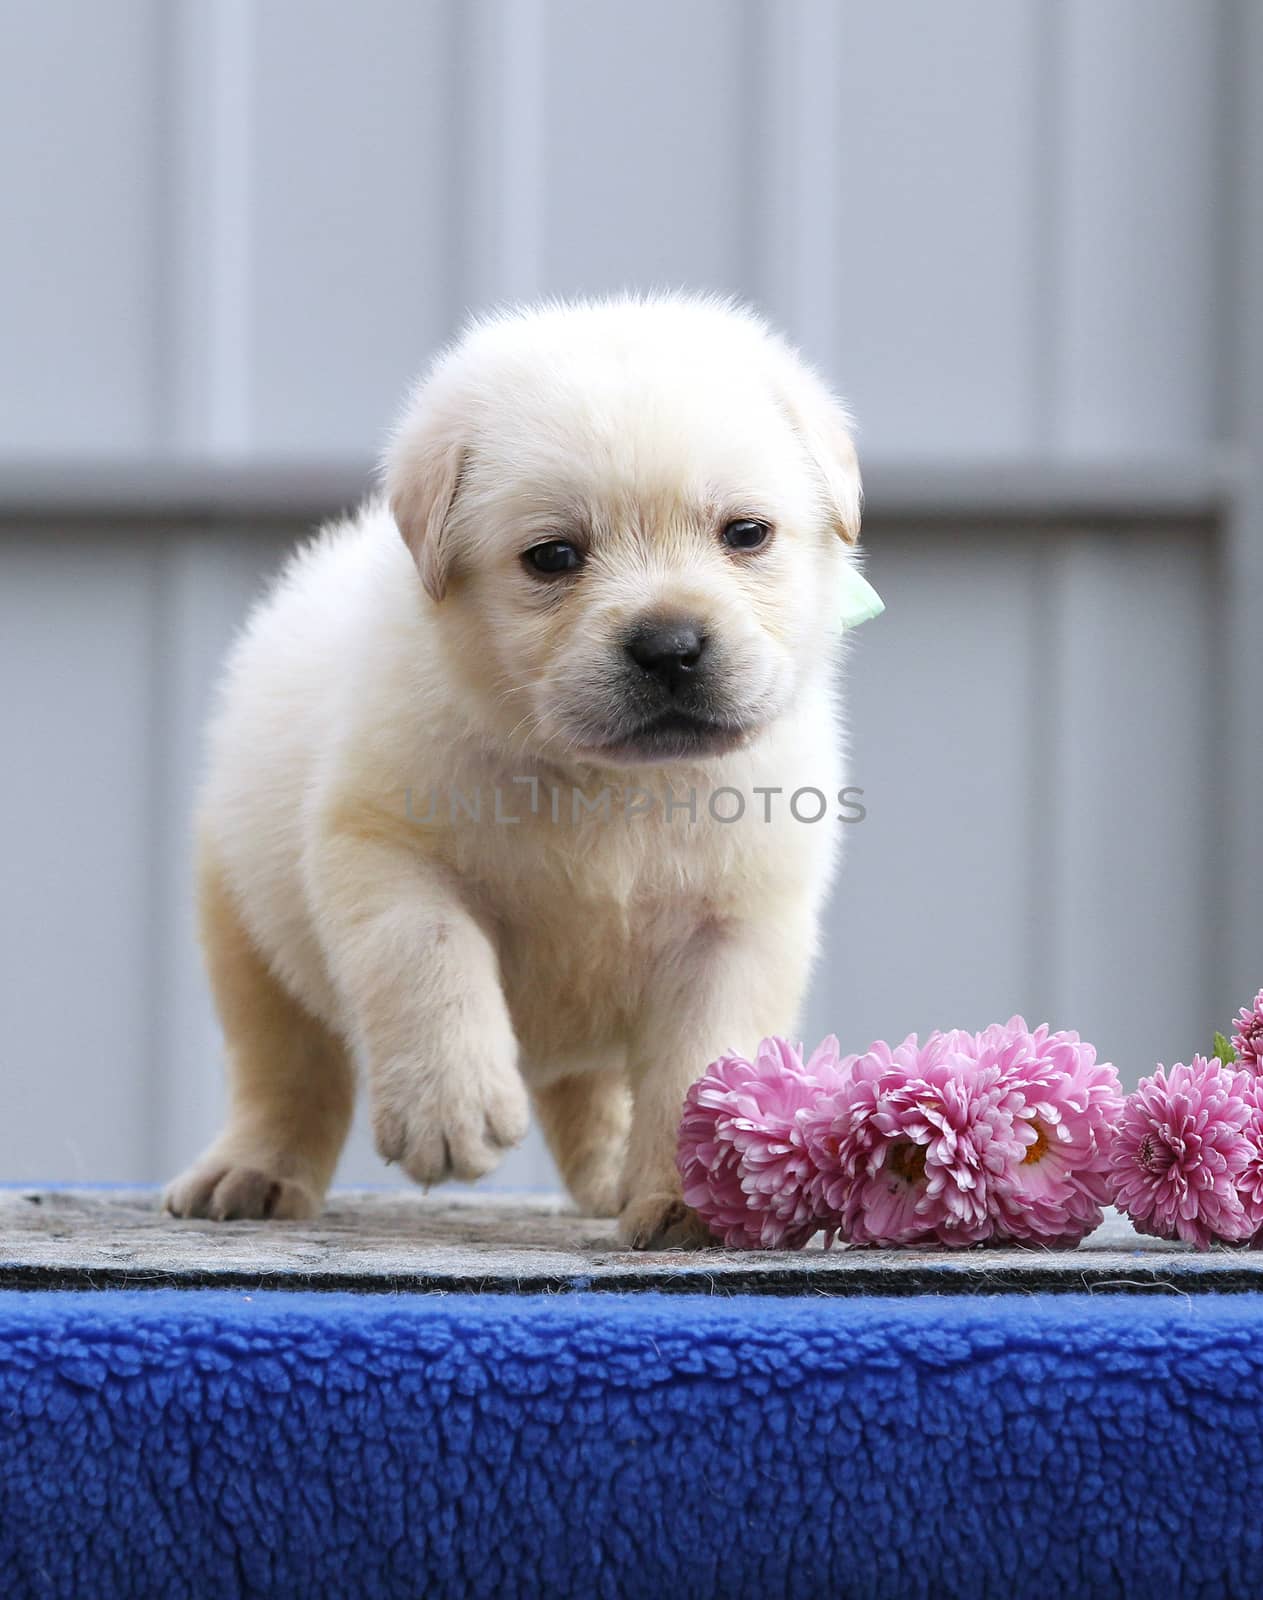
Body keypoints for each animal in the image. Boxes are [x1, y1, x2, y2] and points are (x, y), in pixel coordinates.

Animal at [162, 297, 864, 1248]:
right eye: (553, 557)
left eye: (745, 535)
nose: (670, 647)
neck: (605, 781)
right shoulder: (382, 851)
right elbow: (430, 959)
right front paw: (447, 1108)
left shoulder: (734, 929)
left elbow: (700, 1066)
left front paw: (692, 1199)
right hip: (245, 934)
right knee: (287, 1072)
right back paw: (252, 1172)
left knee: (588, 1093)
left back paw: (612, 1178)